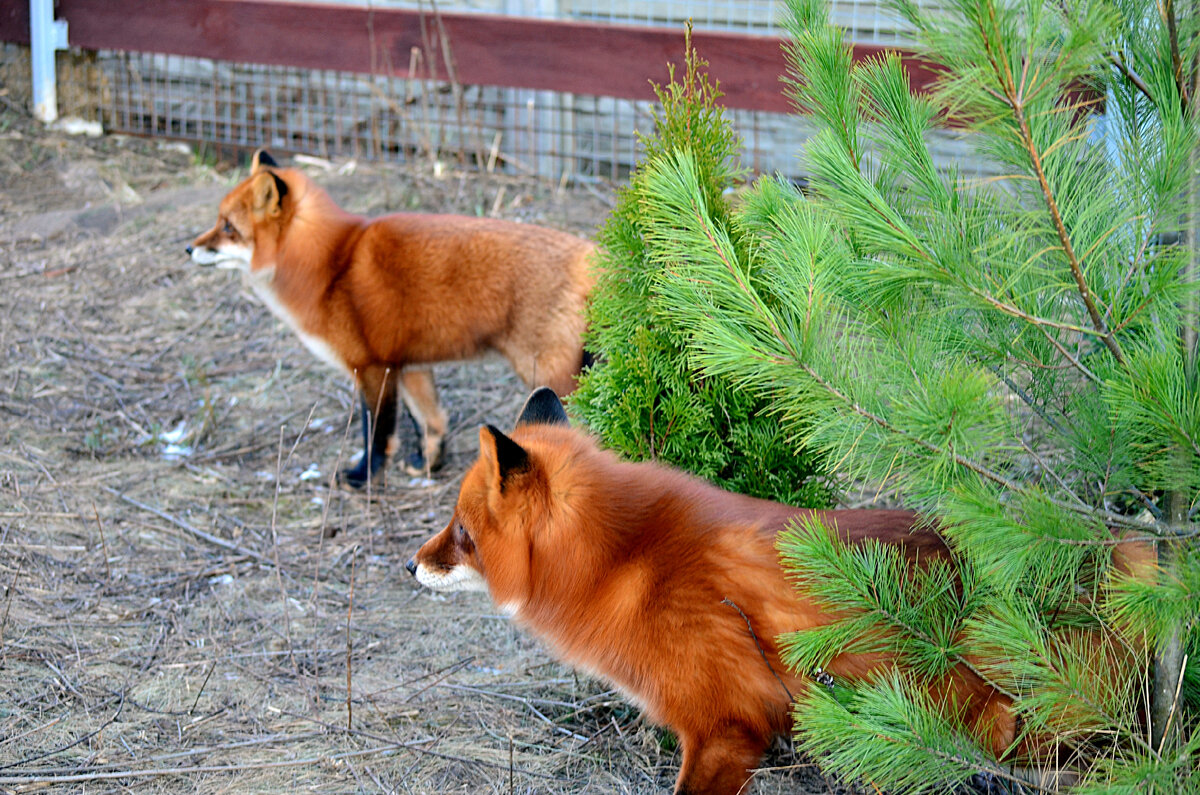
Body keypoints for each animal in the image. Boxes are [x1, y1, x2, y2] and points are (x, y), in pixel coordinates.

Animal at [187, 148, 595, 485]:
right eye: (219, 221)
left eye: (228, 227)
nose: (189, 248)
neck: (331, 266)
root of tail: (594, 256)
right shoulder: (409, 364)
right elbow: (431, 422)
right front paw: (428, 465)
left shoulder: (372, 367)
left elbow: (377, 432)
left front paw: (362, 476)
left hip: (548, 375)